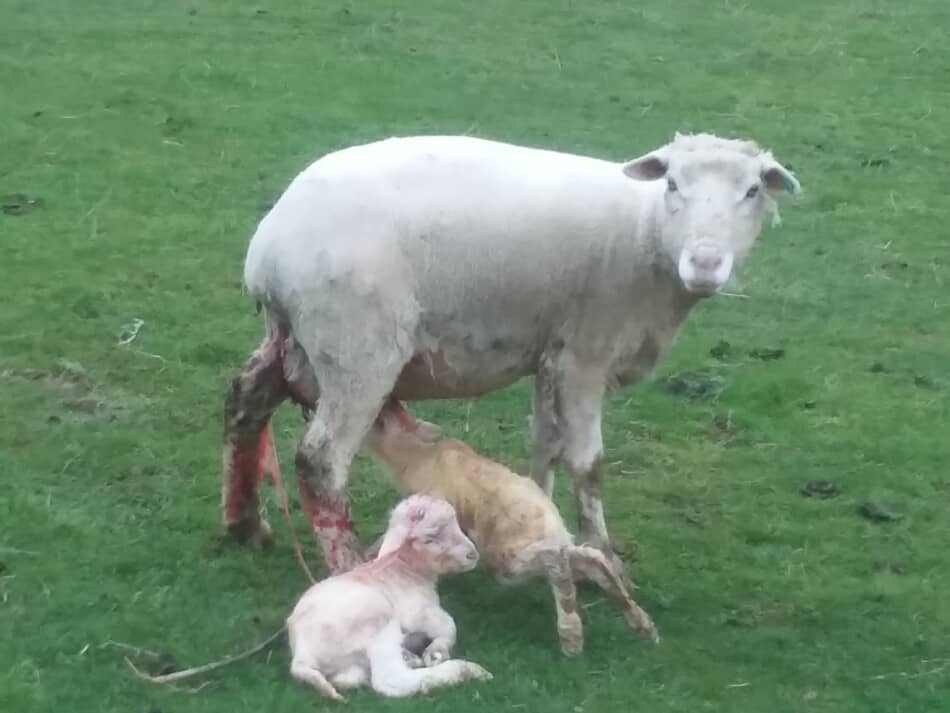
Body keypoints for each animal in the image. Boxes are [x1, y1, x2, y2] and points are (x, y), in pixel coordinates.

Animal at [286, 492, 494, 700]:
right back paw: (466, 670)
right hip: (376, 618)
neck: (404, 568)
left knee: (348, 679)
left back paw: (409, 658)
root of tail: (302, 656)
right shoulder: (417, 612)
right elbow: (449, 625)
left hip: (347, 664)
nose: (472, 555)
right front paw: (437, 652)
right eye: (430, 538)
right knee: (391, 680)